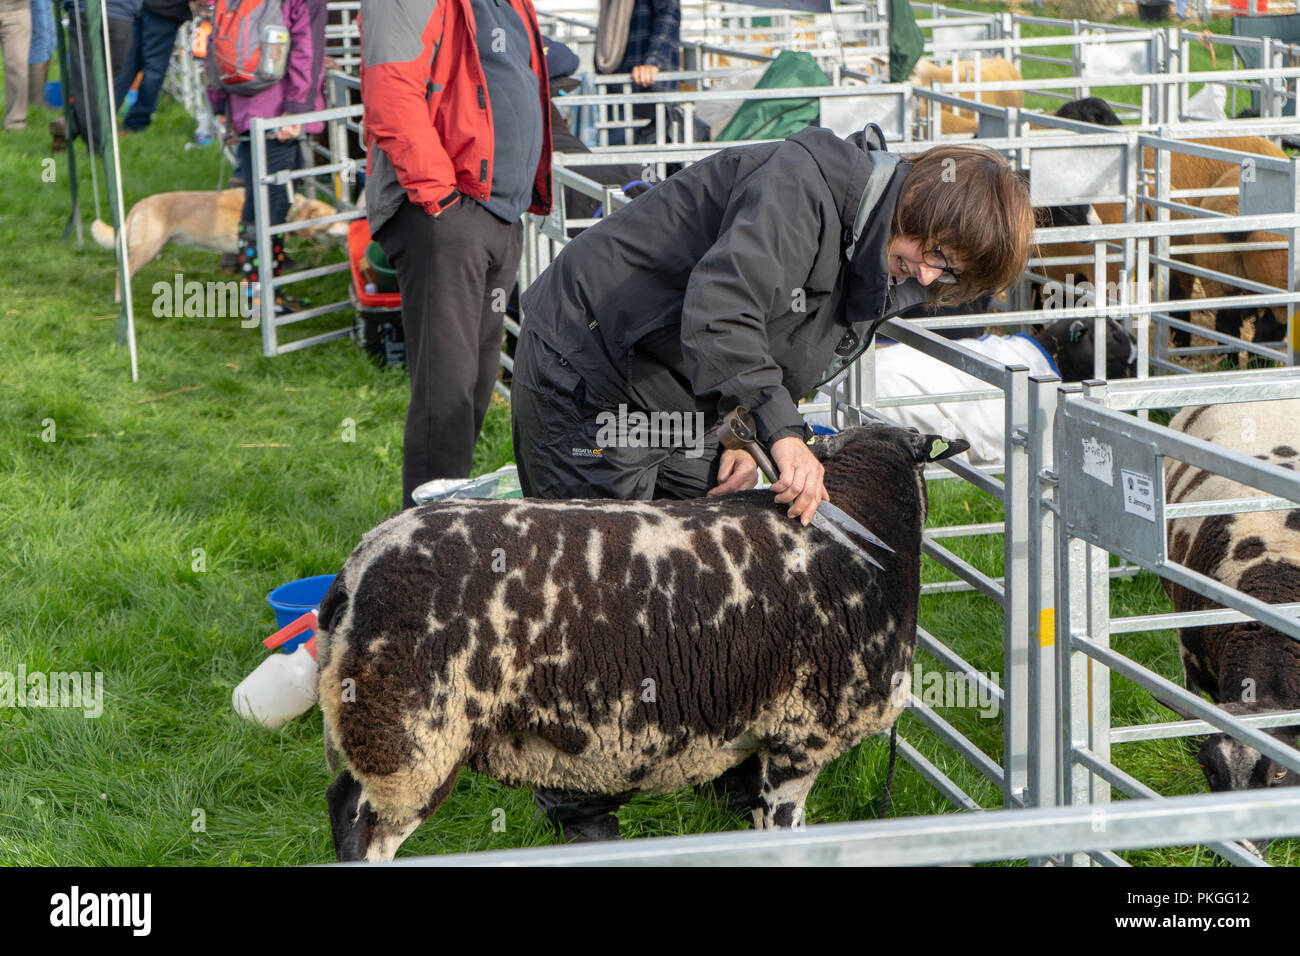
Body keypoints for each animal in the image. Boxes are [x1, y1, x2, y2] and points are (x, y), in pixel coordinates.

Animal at [91, 189, 345, 300]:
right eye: (334, 217)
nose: (350, 223)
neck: (286, 210)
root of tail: (140, 205)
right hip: (147, 249)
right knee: (121, 273)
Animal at [314, 421, 967, 863]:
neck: (868, 526)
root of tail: (356, 571)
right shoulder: (801, 736)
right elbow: (786, 830)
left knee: (342, 805)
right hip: (409, 738)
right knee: (362, 826)